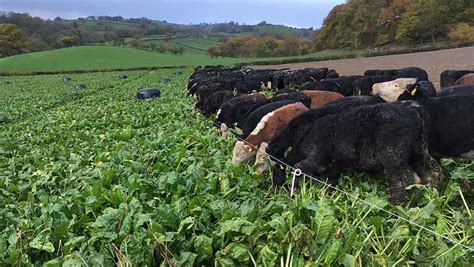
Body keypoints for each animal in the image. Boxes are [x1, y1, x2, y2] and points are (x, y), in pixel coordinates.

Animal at [272, 102, 442, 203]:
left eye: (275, 176)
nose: (274, 191)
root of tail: (411, 106)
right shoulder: (332, 171)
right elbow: (328, 185)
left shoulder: (314, 161)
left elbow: (298, 169)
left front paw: (295, 192)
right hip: (418, 153)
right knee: (431, 174)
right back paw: (432, 197)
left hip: (393, 157)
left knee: (400, 181)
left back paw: (394, 205)